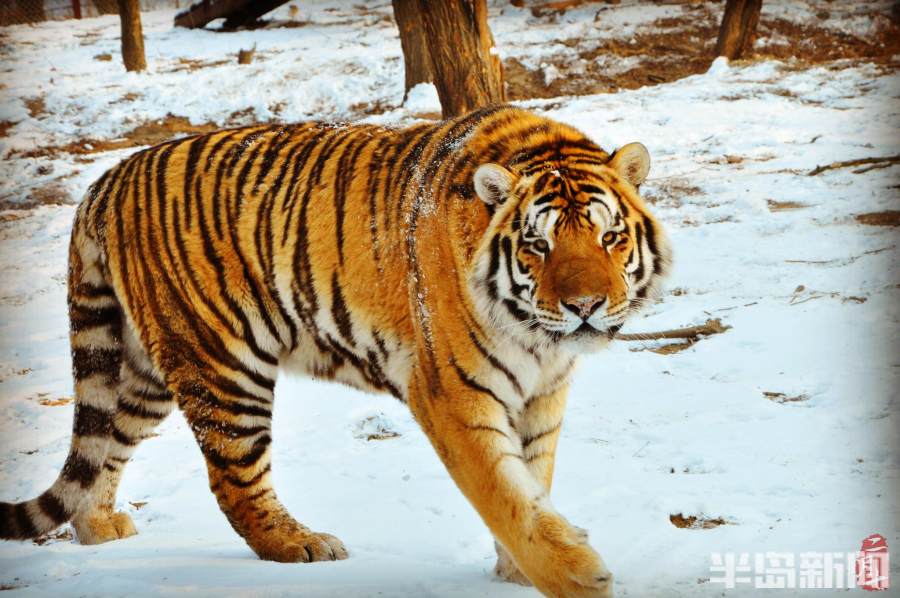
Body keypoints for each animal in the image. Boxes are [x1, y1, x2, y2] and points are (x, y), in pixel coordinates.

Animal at [0, 105, 670, 598]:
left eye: (610, 237)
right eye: (537, 245)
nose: (584, 305)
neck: (537, 337)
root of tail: (107, 179)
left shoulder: (543, 395)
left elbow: (533, 479)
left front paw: (517, 571)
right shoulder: (453, 394)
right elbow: (505, 493)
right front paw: (575, 575)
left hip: (144, 369)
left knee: (106, 442)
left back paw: (102, 529)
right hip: (223, 364)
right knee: (234, 481)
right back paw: (301, 544)